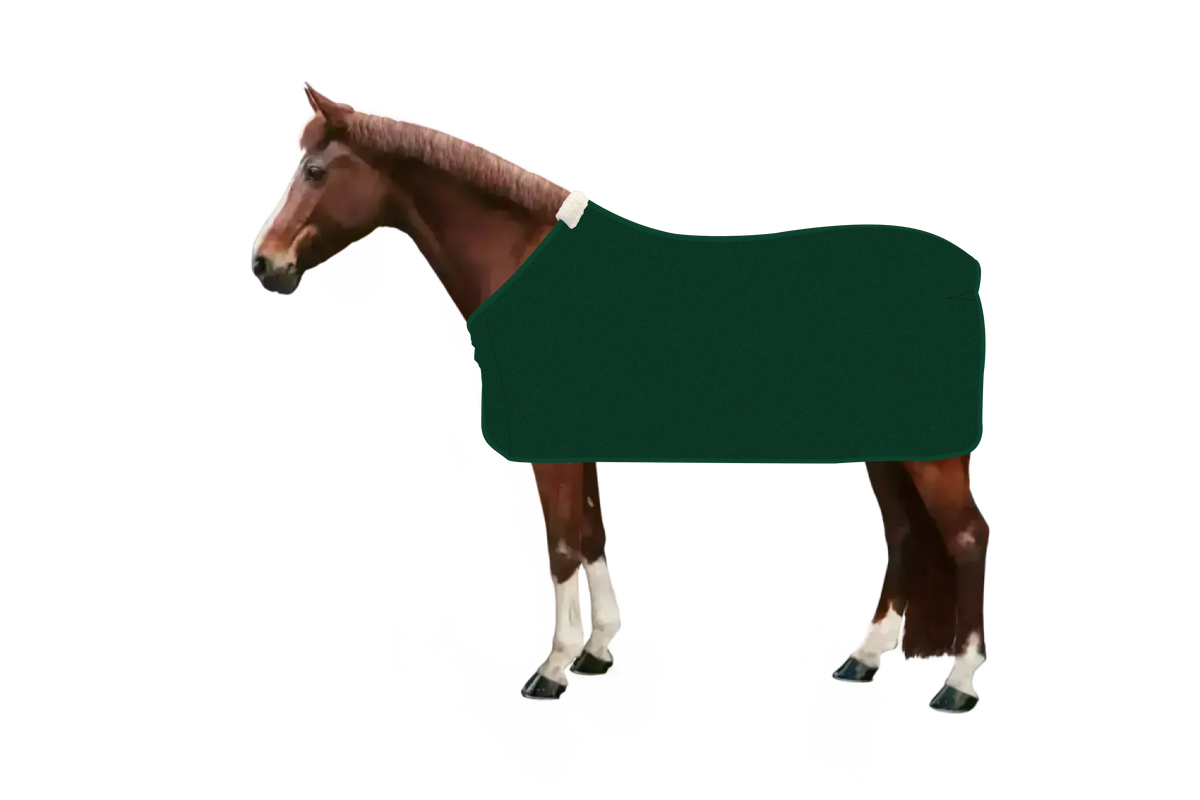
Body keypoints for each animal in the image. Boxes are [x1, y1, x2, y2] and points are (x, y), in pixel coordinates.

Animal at [247, 79, 994, 718]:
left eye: (315, 171)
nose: (264, 265)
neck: (529, 267)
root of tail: (965, 274)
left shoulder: (552, 449)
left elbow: (561, 549)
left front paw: (550, 671)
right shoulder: (579, 447)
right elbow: (591, 536)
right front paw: (597, 651)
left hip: (932, 453)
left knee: (965, 537)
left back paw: (958, 687)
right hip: (888, 449)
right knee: (905, 535)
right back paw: (864, 661)